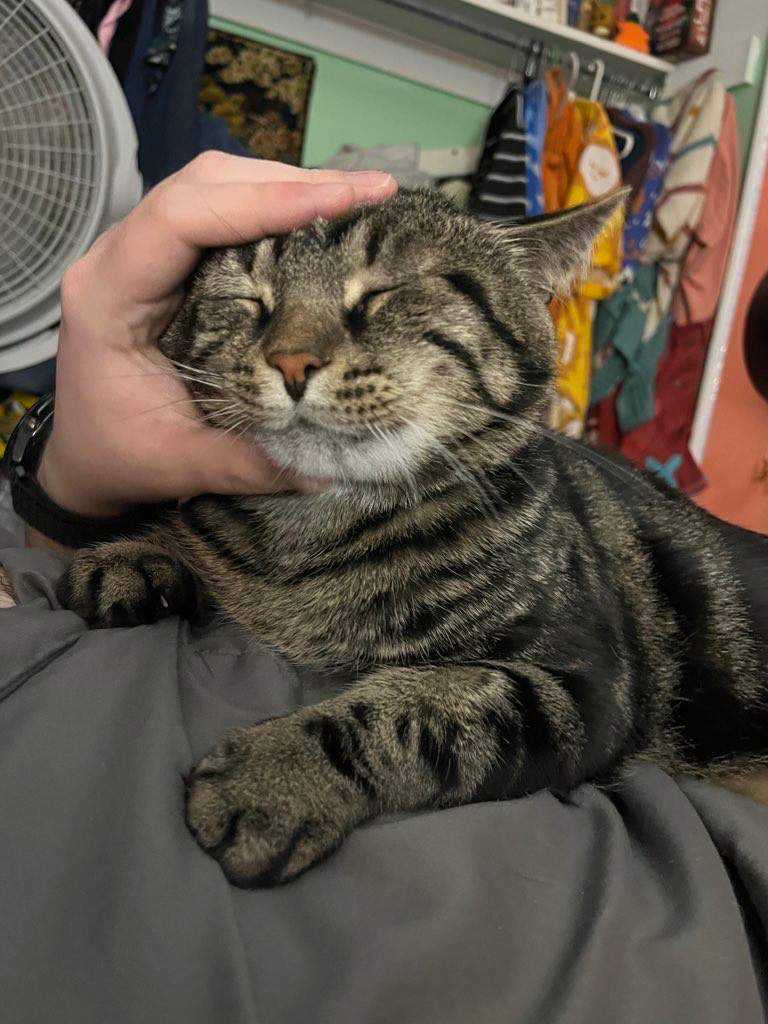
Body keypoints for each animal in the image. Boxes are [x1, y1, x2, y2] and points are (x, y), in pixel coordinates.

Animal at [58, 192, 768, 888]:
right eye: (249, 299)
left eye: (383, 292)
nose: (290, 360)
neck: (309, 536)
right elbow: (200, 534)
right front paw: (142, 550)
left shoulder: (587, 685)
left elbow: (416, 707)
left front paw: (273, 778)